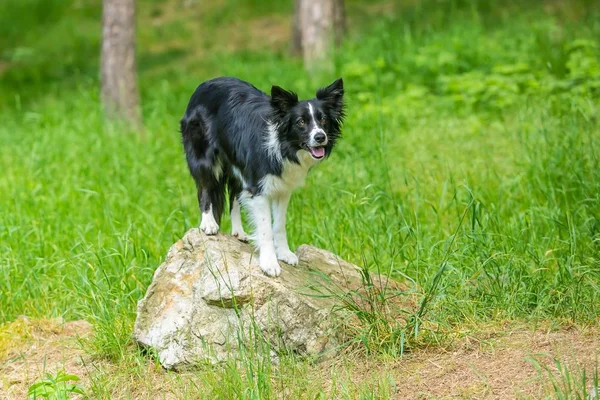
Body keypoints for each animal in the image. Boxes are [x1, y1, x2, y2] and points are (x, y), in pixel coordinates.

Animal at [180, 77, 344, 278]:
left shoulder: (282, 189)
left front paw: (284, 254)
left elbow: (279, 225)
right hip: (204, 155)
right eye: (301, 122)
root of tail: (205, 83)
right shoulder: (259, 189)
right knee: (205, 187)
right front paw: (269, 263)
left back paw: (238, 231)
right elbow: (265, 229)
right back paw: (208, 223)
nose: (320, 137)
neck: (284, 146)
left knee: (234, 195)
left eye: (323, 119)